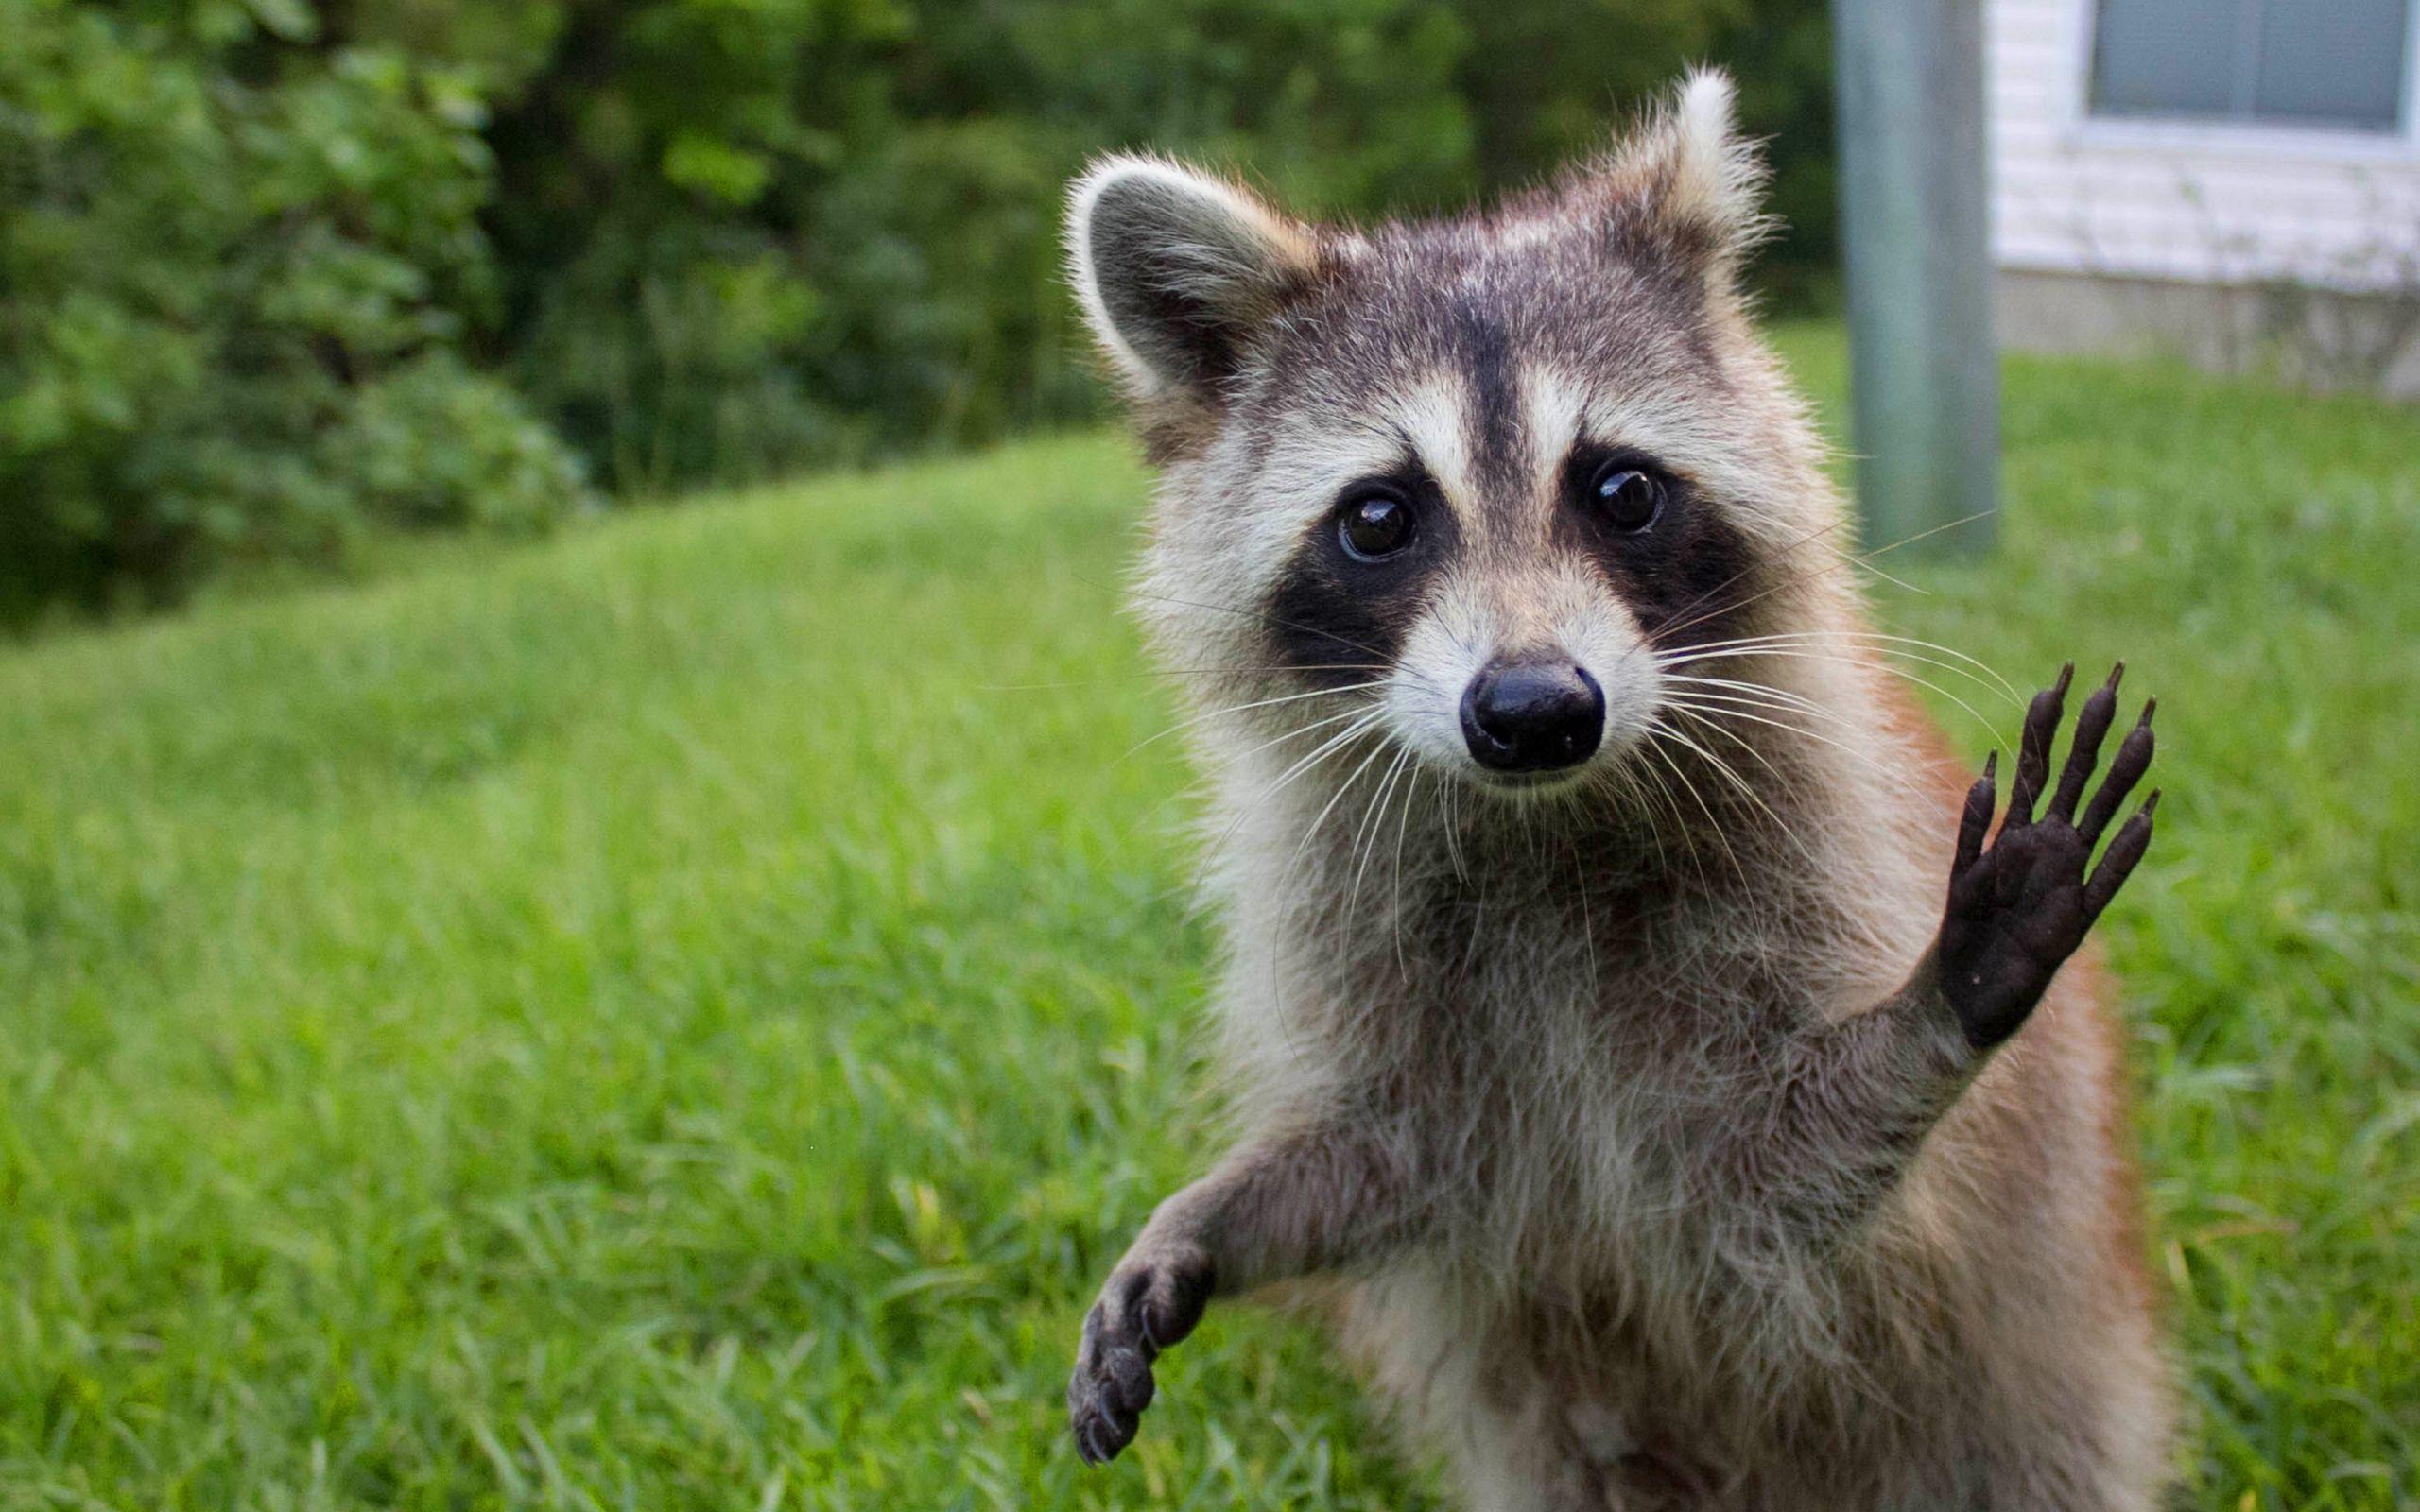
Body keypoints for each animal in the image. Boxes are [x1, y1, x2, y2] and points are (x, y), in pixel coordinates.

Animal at [1060, 72, 2173, 1511]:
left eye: (1622, 488)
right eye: (1379, 518)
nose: (1535, 710)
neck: (1540, 825)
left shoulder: (1814, 862)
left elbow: (1778, 1172)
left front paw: (1938, 1006)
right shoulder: (1353, 925)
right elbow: (1391, 1155)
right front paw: (1213, 1214)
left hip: (2036, 1399)